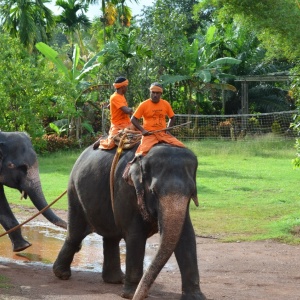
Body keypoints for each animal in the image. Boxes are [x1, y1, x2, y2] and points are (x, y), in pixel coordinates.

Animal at [52, 144, 205, 300]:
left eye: (192, 192)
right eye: (153, 191)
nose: (142, 294)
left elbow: (187, 236)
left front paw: (196, 297)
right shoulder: (126, 190)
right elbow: (136, 236)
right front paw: (131, 295)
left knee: (111, 237)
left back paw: (115, 280)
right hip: (74, 193)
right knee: (76, 233)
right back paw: (62, 274)